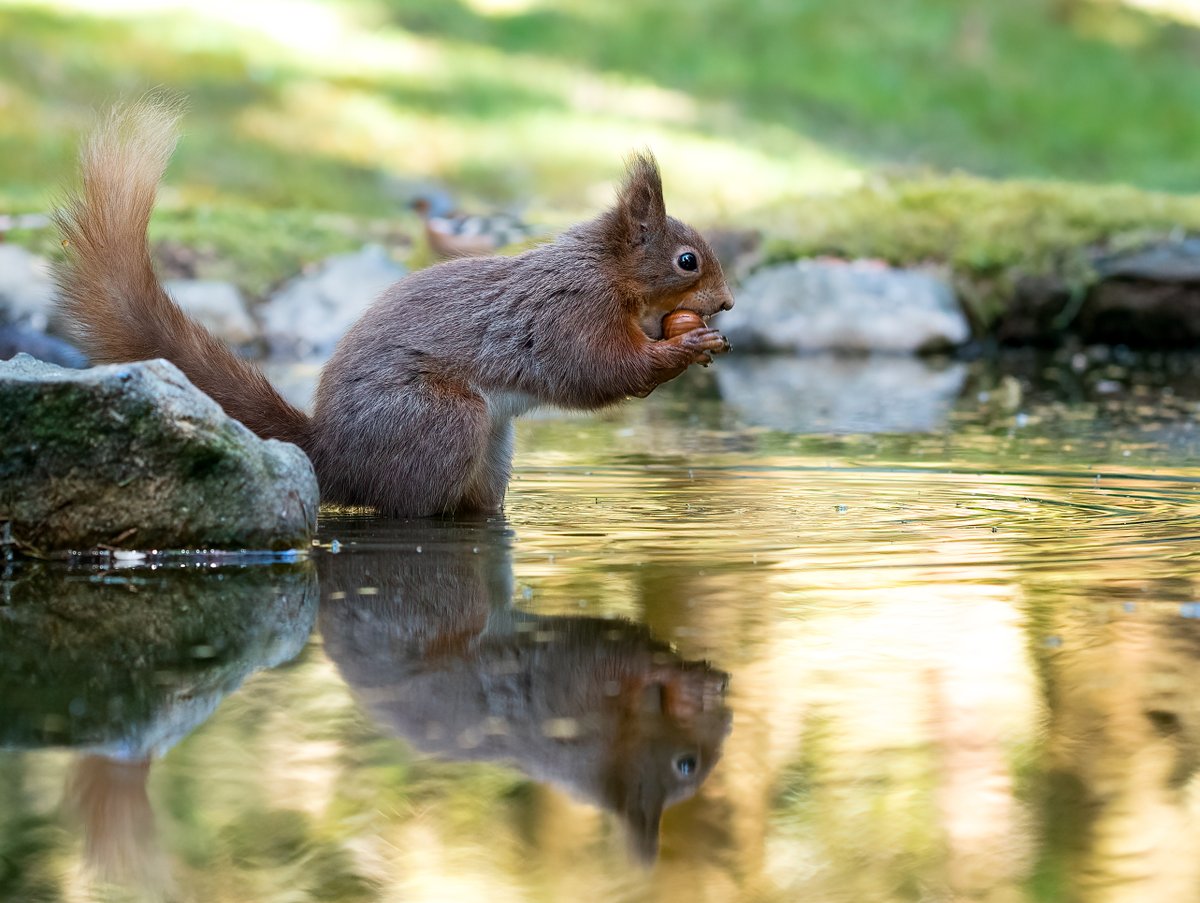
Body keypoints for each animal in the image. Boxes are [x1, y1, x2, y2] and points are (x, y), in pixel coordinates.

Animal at [53, 99, 735, 517]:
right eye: (687, 261)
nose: (727, 303)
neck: (605, 273)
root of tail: (332, 454)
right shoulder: (570, 316)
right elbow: (601, 372)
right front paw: (683, 346)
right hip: (443, 421)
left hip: (491, 448)